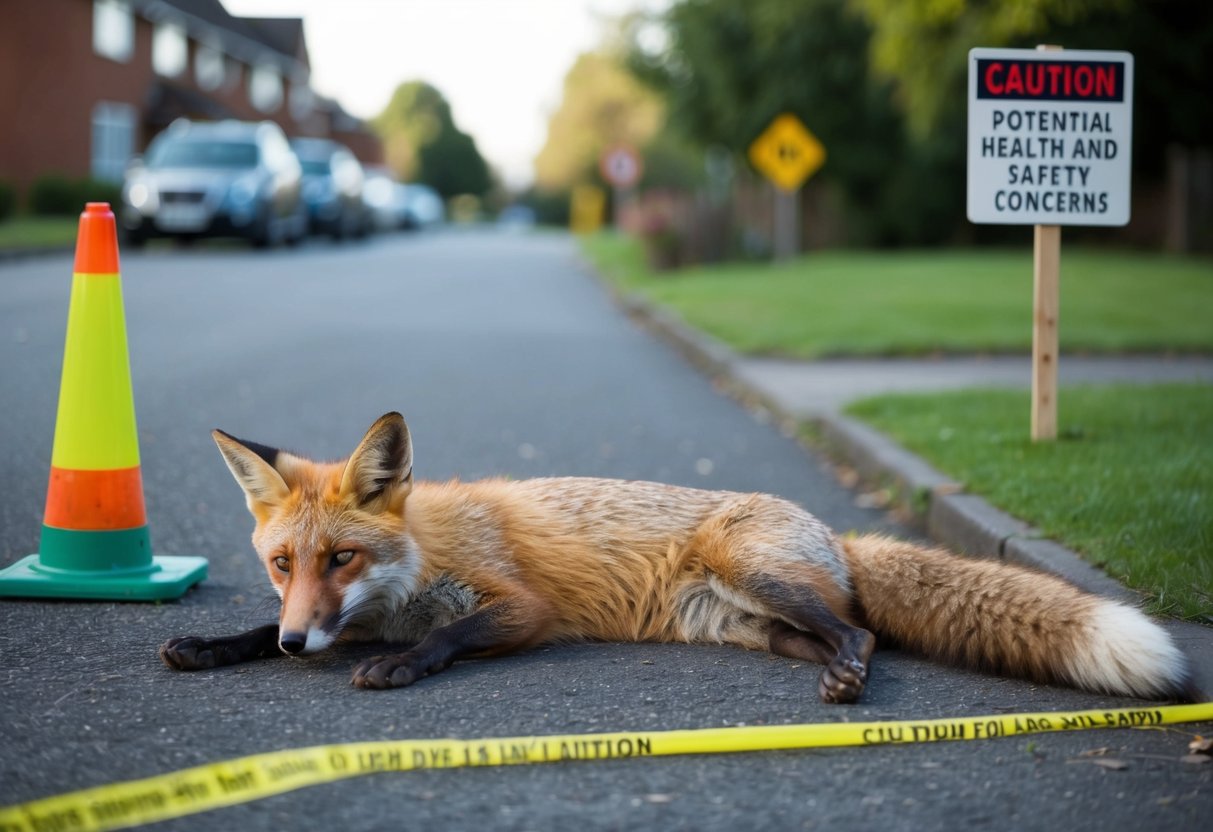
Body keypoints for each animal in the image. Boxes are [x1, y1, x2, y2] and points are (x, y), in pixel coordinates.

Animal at [160, 411, 1200, 704]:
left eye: (341, 556)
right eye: (283, 565)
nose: (298, 651)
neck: (417, 564)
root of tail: (831, 532)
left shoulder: (524, 607)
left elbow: (446, 640)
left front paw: (398, 666)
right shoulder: (323, 618)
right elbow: (250, 630)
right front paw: (212, 646)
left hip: (755, 575)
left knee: (863, 628)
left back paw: (849, 678)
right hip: (750, 626)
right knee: (847, 632)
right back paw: (834, 676)